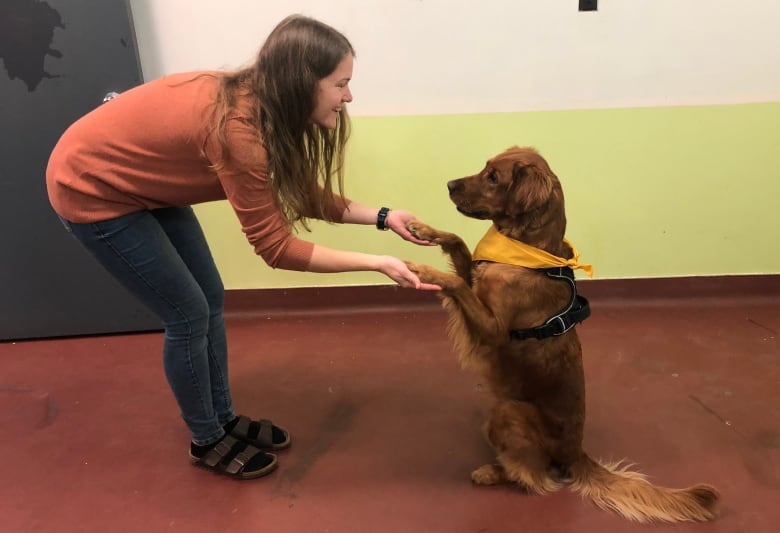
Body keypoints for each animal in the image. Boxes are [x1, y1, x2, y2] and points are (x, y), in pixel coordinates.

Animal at [408, 147, 720, 524]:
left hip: (508, 411)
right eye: (485, 168)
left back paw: (492, 472)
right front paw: (423, 228)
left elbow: (454, 282)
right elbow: (458, 242)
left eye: (493, 177)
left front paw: (425, 271)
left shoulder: (493, 329)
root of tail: (576, 453)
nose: (450, 184)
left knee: (534, 475)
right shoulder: (477, 280)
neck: (525, 251)